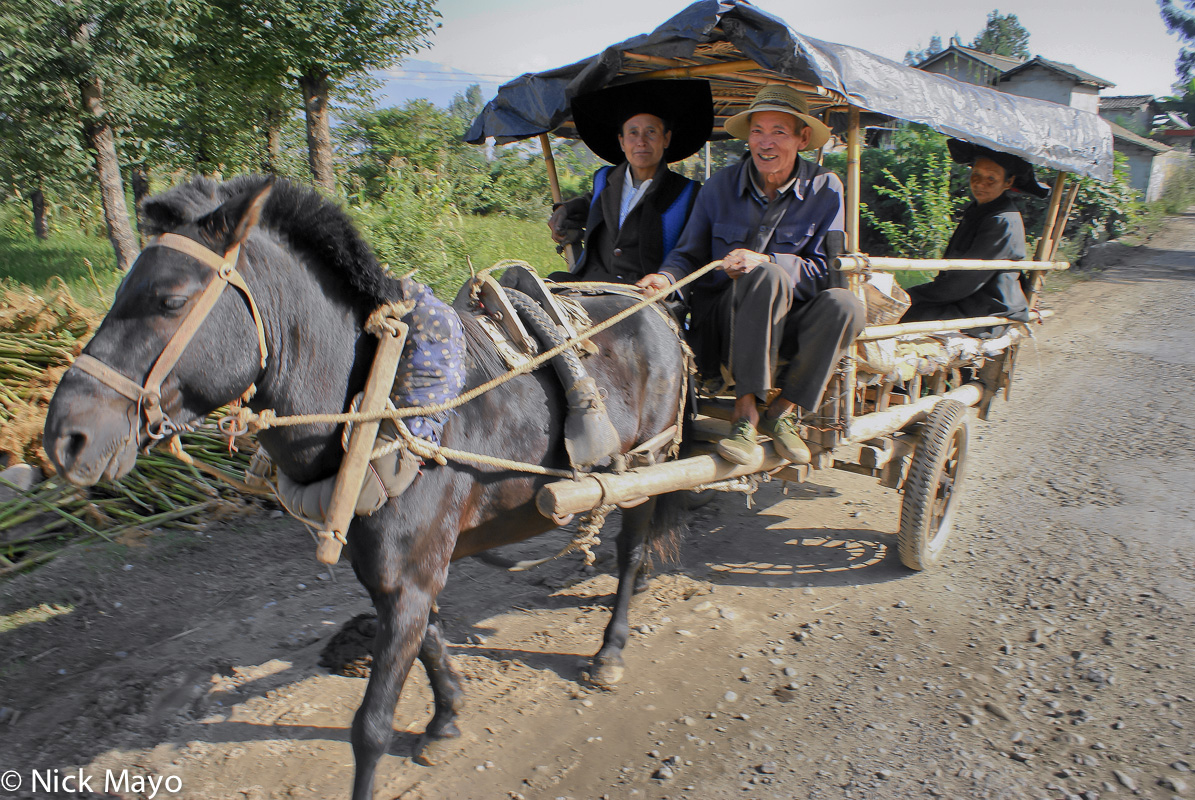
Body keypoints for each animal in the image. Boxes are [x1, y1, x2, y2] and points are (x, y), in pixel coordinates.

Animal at [42, 175, 688, 798]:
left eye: (171, 300)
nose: (65, 438)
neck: (378, 403)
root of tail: (650, 305)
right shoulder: (393, 573)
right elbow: (430, 640)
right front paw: (446, 718)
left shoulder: (409, 576)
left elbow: (371, 727)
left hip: (648, 464)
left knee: (631, 552)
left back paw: (610, 649)